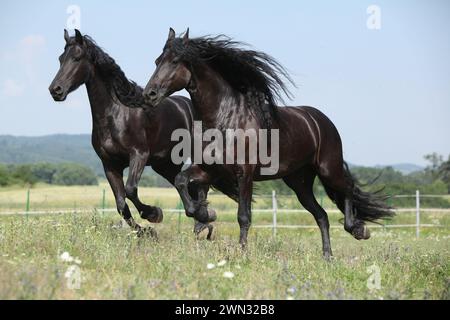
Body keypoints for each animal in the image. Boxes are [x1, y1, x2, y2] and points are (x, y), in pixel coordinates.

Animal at [48, 28, 229, 236]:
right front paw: (146, 231)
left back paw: (203, 220)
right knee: (186, 185)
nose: (55, 90)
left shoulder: (139, 155)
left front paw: (154, 214)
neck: (117, 113)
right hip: (165, 164)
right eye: (60, 58)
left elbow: (130, 190)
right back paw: (202, 221)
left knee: (200, 185)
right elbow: (121, 204)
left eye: (76, 58)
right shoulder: (110, 165)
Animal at [144, 28, 394, 258]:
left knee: (347, 189)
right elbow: (181, 181)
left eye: (175, 61)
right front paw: (205, 214)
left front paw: (242, 252)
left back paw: (358, 230)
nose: (150, 94)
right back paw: (327, 256)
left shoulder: (244, 173)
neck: (227, 118)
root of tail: (321, 120)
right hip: (299, 183)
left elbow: (244, 216)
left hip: (328, 170)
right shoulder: (210, 170)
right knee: (322, 215)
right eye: (157, 61)